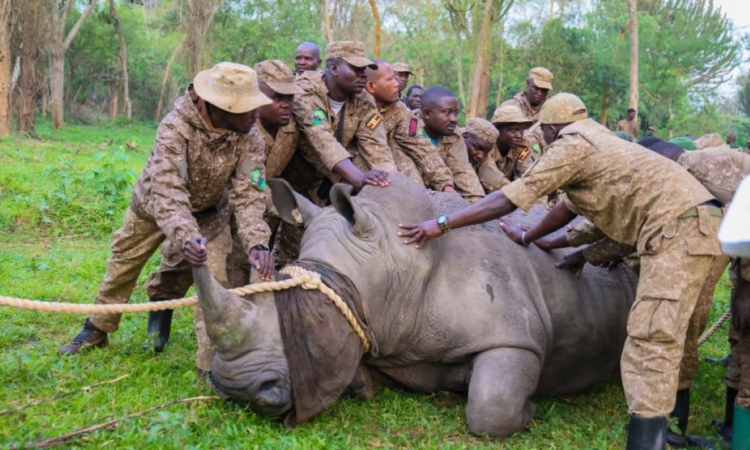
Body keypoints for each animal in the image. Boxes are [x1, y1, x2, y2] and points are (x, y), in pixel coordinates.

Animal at [192, 173, 637, 438]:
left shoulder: (516, 336)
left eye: (310, 318)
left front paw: (528, 412)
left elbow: (489, 409)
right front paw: (362, 383)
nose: (236, 390)